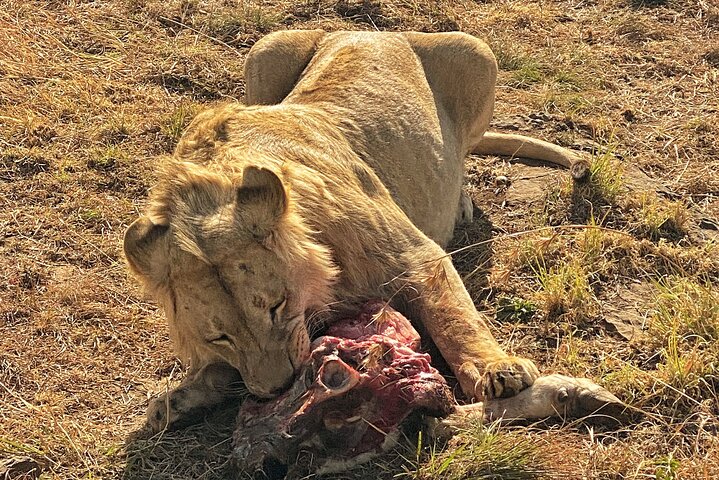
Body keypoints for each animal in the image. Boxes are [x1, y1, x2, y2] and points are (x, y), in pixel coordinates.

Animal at [123, 30, 590, 432]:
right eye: (219, 336)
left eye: (276, 306)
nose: (278, 389)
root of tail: (369, 31)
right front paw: (180, 398)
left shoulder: (416, 255)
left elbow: (455, 318)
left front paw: (498, 370)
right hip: (264, 54)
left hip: (475, 52)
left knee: (464, 152)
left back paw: (460, 202)